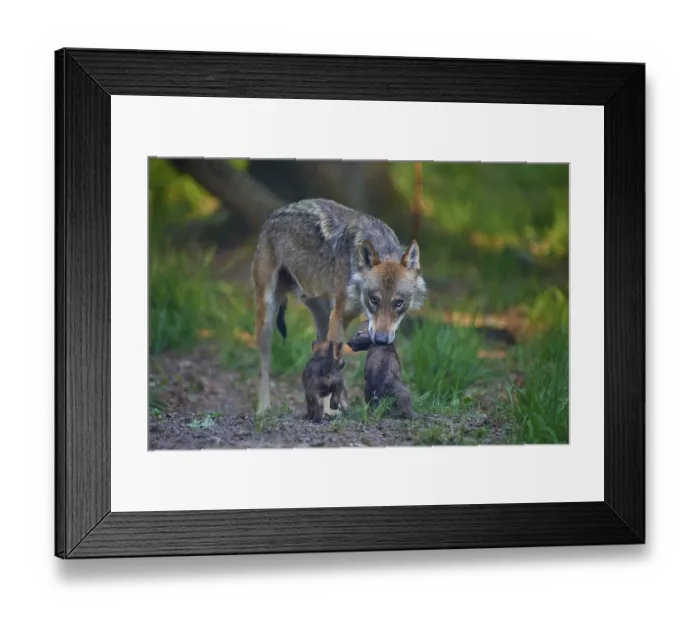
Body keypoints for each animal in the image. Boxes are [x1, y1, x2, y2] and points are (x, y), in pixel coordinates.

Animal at [252, 198, 427, 413]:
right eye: (374, 300)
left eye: (398, 303)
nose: (381, 339)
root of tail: (274, 214)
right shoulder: (339, 316)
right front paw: (329, 411)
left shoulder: (347, 319)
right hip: (268, 317)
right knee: (263, 365)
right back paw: (263, 409)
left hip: (322, 317)